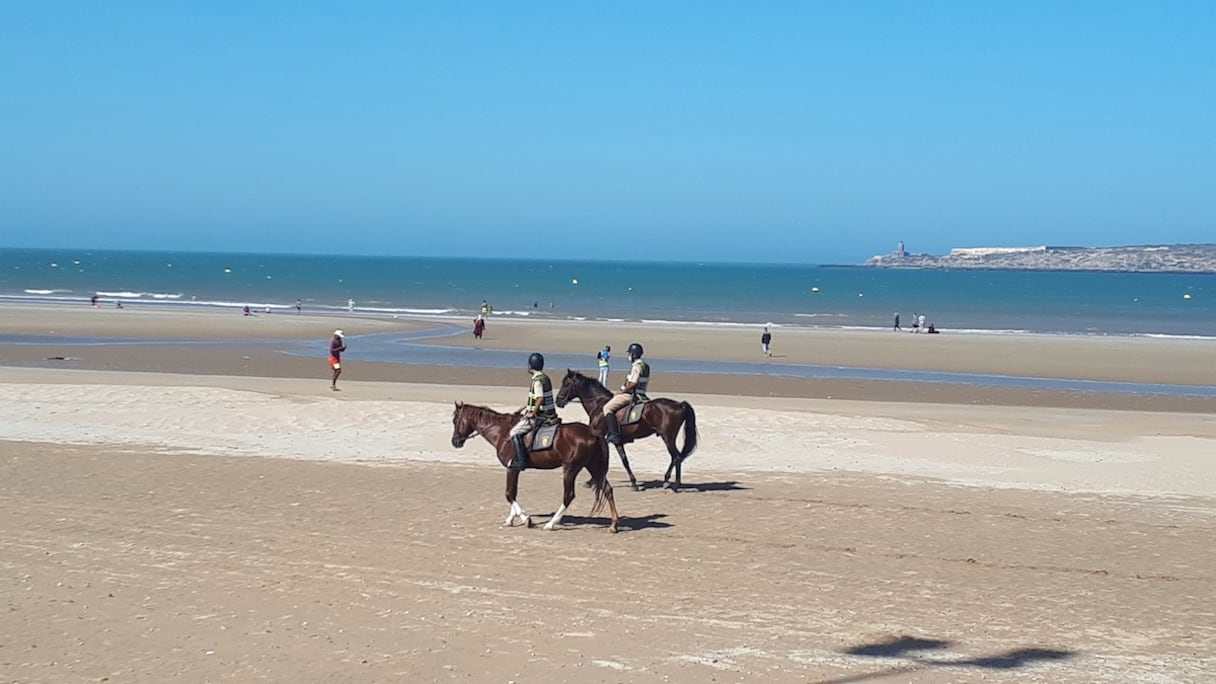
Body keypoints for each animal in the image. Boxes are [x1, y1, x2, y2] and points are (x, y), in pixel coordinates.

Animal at [449, 401, 622, 530]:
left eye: (455, 421)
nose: (455, 442)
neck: (502, 432)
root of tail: (593, 432)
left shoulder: (512, 468)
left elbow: (509, 494)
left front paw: (526, 519)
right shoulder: (515, 470)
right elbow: (513, 493)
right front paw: (510, 519)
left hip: (570, 469)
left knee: (569, 495)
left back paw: (551, 523)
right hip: (593, 467)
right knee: (607, 489)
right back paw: (614, 524)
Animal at [556, 367, 700, 489]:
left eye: (566, 384)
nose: (558, 401)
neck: (599, 405)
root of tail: (679, 404)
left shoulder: (600, 436)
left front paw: (592, 481)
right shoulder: (617, 441)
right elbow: (624, 461)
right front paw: (634, 483)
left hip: (668, 438)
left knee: (676, 457)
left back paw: (672, 482)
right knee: (677, 457)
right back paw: (672, 482)